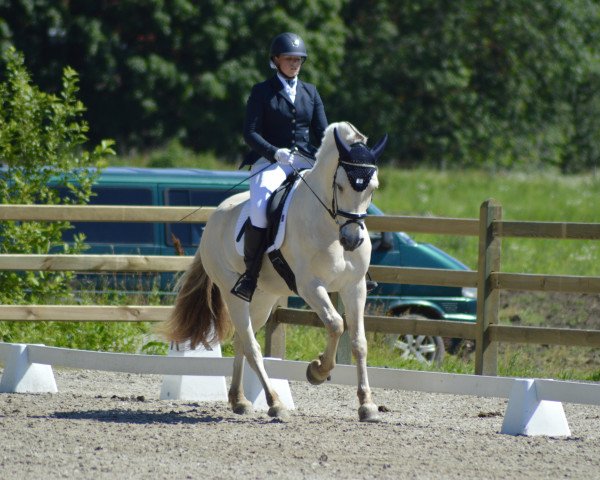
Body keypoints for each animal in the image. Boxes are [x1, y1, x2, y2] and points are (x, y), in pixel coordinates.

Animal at [157, 122, 386, 422]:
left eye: (372, 188)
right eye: (340, 185)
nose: (351, 240)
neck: (327, 224)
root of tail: (214, 218)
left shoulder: (354, 286)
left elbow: (359, 342)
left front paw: (367, 405)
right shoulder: (310, 286)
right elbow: (336, 323)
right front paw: (317, 370)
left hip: (263, 298)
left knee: (243, 340)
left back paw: (239, 400)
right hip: (233, 294)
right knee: (251, 345)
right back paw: (274, 403)